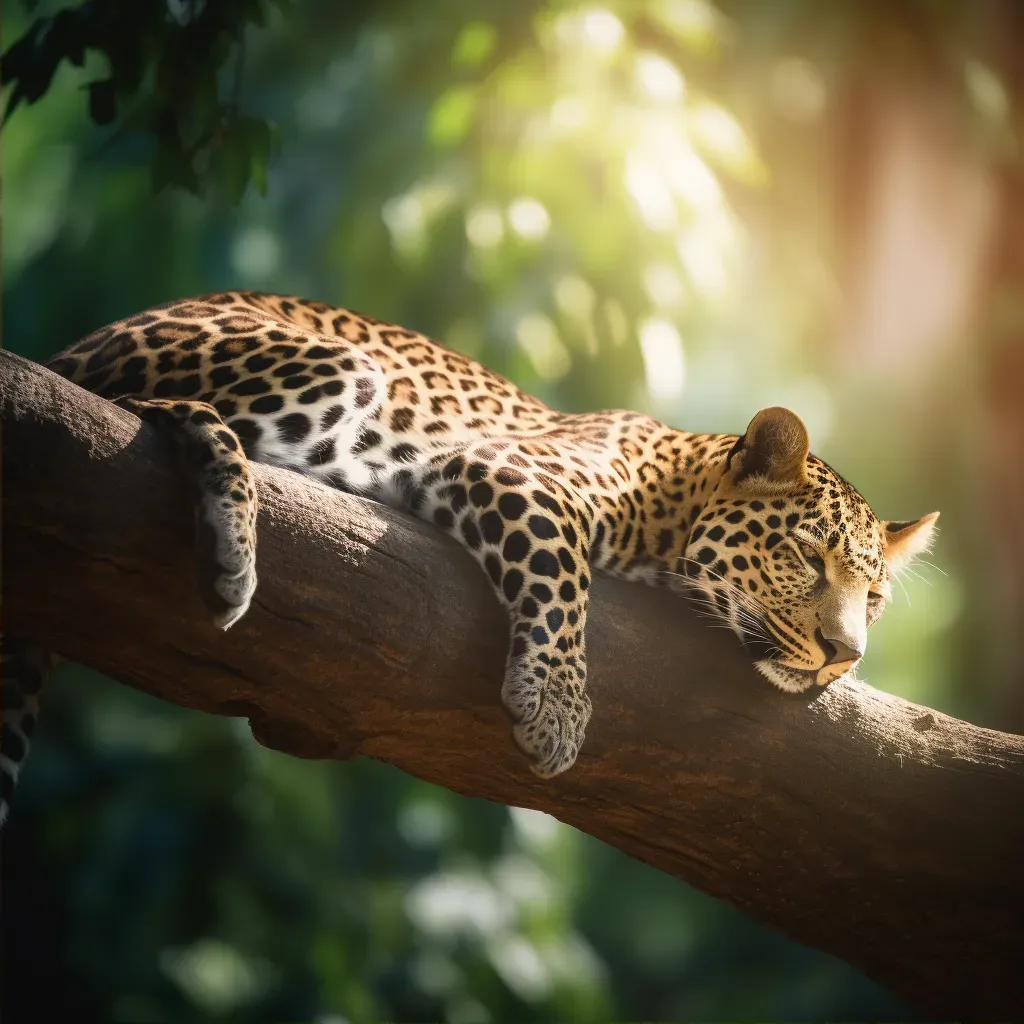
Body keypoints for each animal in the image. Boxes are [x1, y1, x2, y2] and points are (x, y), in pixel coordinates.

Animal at [0, 290, 937, 823]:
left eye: (875, 600)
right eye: (808, 558)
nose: (845, 654)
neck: (674, 499)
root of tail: (72, 348)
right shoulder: (508, 467)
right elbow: (562, 576)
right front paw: (555, 705)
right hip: (332, 368)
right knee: (154, 410)